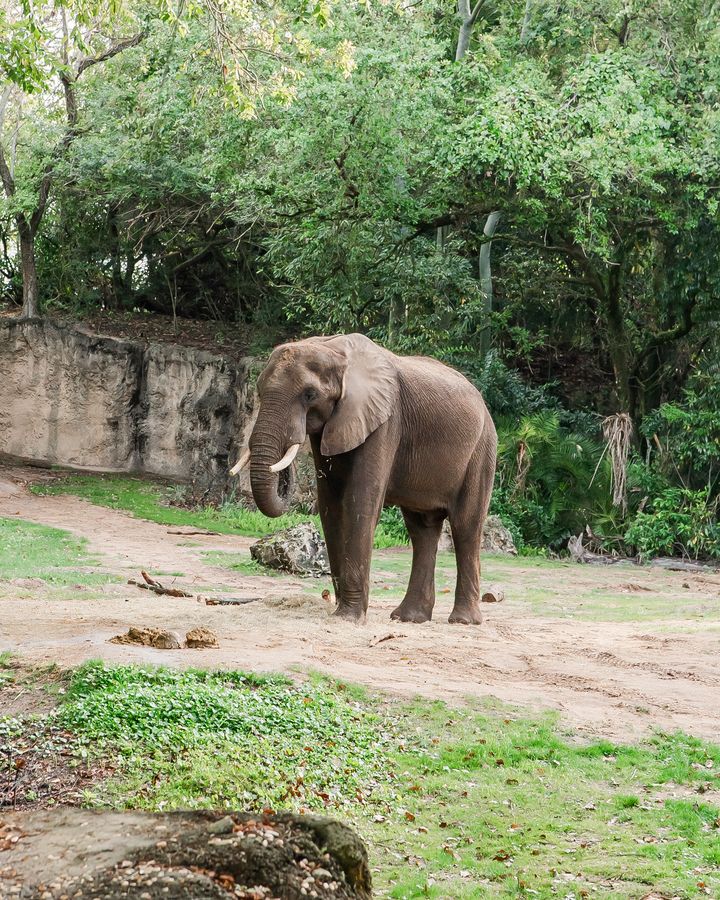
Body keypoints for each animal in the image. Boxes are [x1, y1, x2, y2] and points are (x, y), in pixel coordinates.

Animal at [231, 333, 497, 625]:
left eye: (309, 394)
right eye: (258, 391)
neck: (332, 347)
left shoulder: (386, 420)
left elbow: (359, 501)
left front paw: (348, 617)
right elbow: (330, 505)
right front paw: (341, 612)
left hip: (482, 449)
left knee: (465, 526)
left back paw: (462, 621)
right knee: (422, 530)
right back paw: (408, 618)